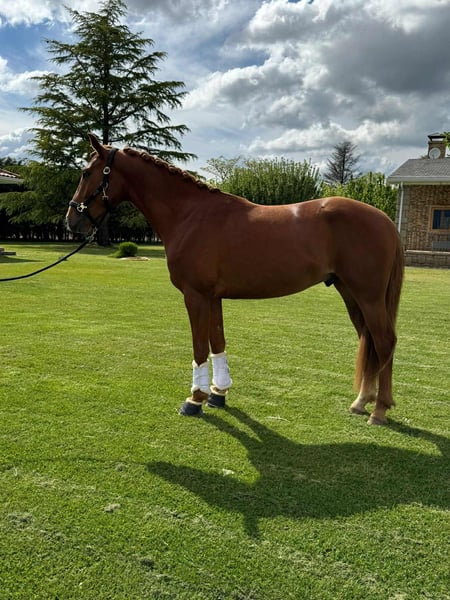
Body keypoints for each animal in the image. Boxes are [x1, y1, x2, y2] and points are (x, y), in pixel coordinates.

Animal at [66, 134, 404, 425]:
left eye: (85, 172)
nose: (72, 221)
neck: (190, 215)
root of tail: (385, 220)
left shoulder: (195, 295)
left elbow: (199, 346)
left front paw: (195, 399)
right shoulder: (213, 297)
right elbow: (217, 342)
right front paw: (218, 394)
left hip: (369, 296)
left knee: (385, 341)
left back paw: (379, 410)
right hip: (350, 293)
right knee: (369, 341)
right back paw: (361, 402)